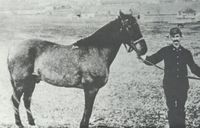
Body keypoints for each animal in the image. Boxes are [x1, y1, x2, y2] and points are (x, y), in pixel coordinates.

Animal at [7, 11, 147, 128]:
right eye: (129, 27)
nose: (143, 49)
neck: (97, 51)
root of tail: (13, 50)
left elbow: (88, 110)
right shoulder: (91, 89)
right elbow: (88, 110)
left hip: (31, 82)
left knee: (26, 100)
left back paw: (32, 122)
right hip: (21, 83)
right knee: (15, 100)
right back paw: (19, 124)